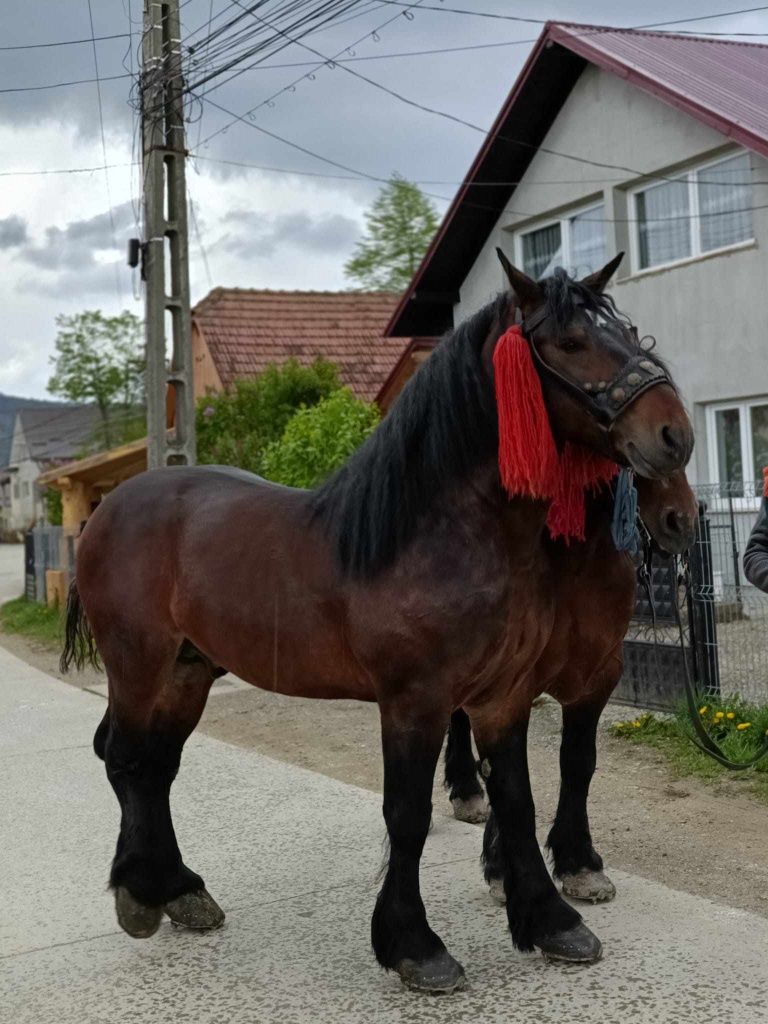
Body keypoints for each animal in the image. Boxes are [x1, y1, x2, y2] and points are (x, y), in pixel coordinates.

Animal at [444, 471, 696, 913]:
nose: (678, 519)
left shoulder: (600, 675)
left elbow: (578, 763)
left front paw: (579, 864)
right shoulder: (507, 685)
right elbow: (507, 774)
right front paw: (503, 870)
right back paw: (466, 790)